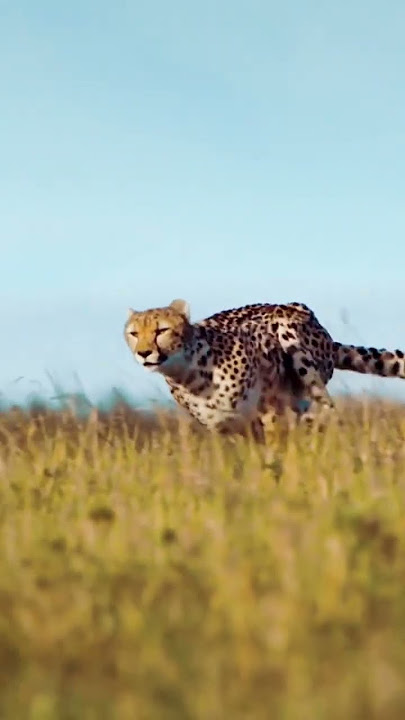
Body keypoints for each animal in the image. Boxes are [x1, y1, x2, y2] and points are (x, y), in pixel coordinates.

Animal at [124, 298, 405, 440]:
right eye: (134, 333)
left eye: (162, 330)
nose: (144, 353)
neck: (189, 374)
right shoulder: (225, 429)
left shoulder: (269, 408)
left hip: (290, 331)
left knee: (326, 406)